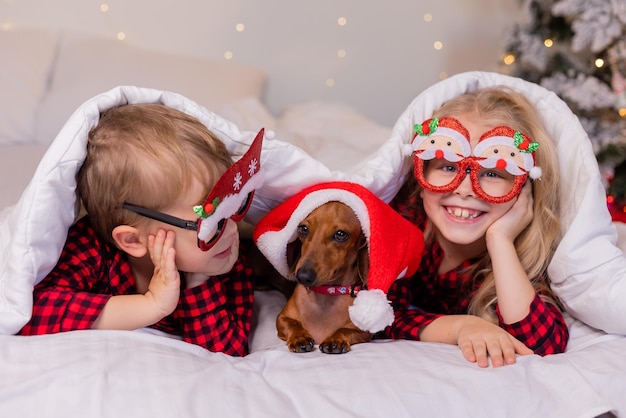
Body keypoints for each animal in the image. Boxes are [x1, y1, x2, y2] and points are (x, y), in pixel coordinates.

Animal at [274, 201, 370, 354]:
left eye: (341, 234)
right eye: (303, 229)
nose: (303, 276)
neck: (327, 292)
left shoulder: (364, 331)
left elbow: (345, 329)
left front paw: (335, 338)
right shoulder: (282, 317)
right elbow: (292, 323)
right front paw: (299, 337)